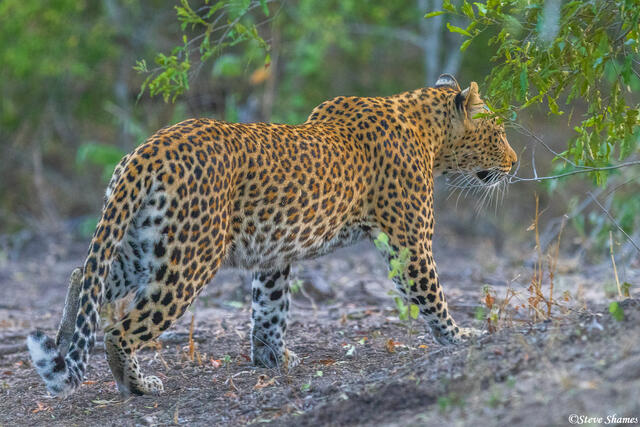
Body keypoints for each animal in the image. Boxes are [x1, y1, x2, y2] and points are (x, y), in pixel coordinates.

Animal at [27, 74, 517, 397]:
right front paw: (461, 337)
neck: (427, 131)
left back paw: (64, 342)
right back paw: (137, 384)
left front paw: (272, 359)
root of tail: (149, 150)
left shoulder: (273, 254)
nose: (514, 164)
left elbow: (269, 307)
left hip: (140, 244)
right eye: (497, 131)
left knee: (83, 278)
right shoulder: (409, 244)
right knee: (120, 328)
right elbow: (432, 295)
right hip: (189, 259)